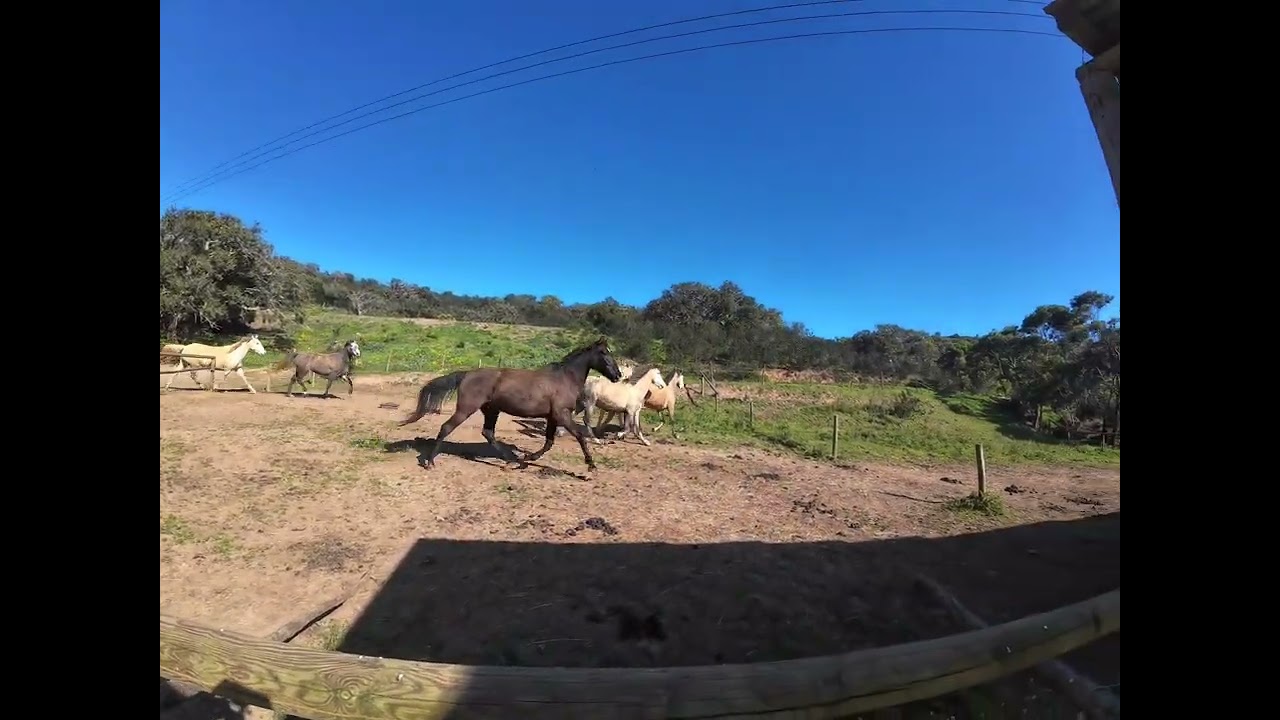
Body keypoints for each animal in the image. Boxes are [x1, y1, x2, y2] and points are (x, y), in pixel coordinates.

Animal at [397, 338, 623, 473]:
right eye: (604, 353)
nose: (618, 375)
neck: (564, 379)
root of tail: (467, 374)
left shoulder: (552, 416)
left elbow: (549, 442)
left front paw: (528, 457)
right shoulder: (562, 414)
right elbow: (579, 436)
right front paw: (591, 465)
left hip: (491, 410)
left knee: (488, 433)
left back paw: (513, 460)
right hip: (466, 408)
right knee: (447, 427)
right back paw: (430, 462)